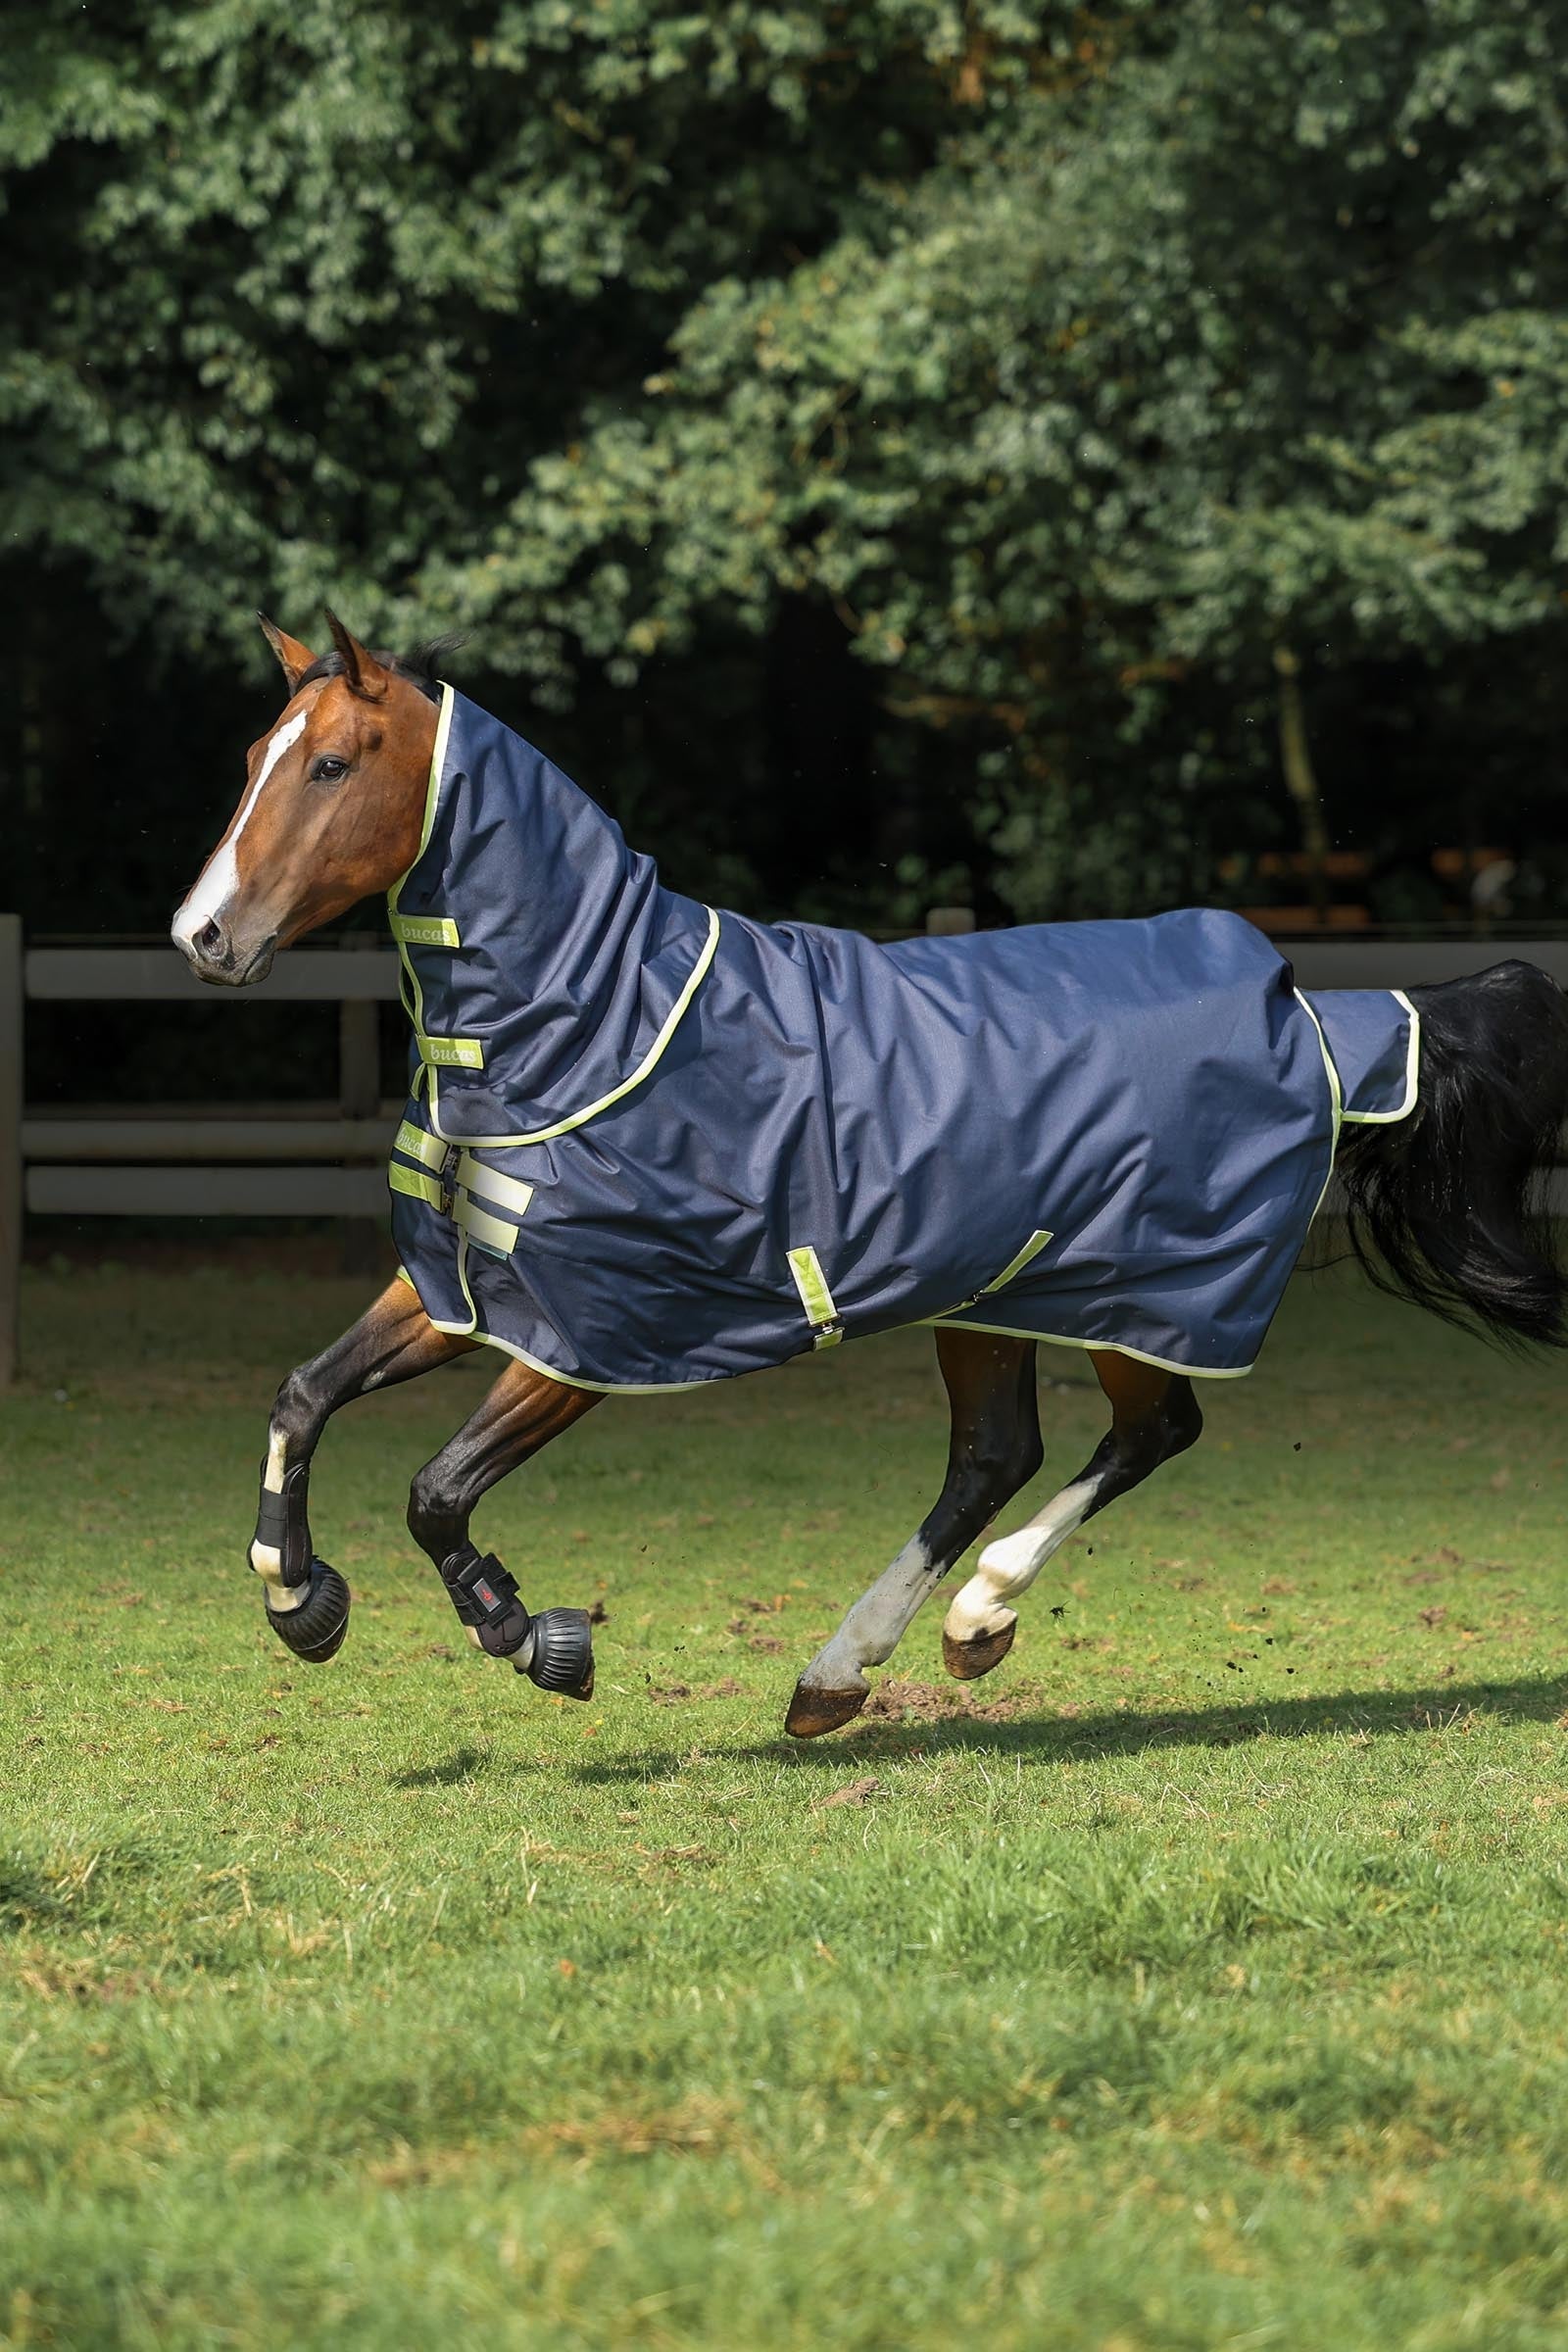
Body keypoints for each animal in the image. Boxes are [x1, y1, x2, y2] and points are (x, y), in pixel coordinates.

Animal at [171, 612, 1568, 1738]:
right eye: (246, 763)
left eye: (332, 764)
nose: (203, 937)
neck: (601, 1018)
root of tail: (1310, 1012)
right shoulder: (468, 1290)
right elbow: (303, 1396)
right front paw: (300, 1601)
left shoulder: (591, 1336)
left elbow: (434, 1494)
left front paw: (536, 1642)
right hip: (994, 1296)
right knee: (997, 1455)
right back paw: (842, 1676)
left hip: (1137, 1294)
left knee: (1147, 1432)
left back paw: (969, 1621)